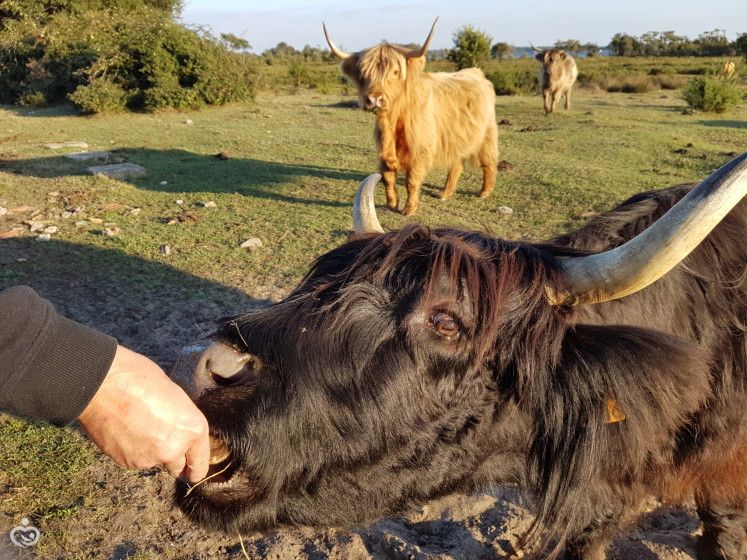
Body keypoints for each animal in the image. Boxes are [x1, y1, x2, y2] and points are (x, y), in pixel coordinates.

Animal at [322, 20, 496, 217]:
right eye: (364, 73)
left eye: (396, 72)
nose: (374, 99)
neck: (393, 121)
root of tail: (476, 72)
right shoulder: (384, 151)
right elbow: (387, 177)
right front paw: (392, 204)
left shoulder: (419, 149)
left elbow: (411, 180)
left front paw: (409, 209)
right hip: (455, 137)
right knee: (456, 164)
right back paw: (445, 193)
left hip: (487, 134)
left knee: (489, 162)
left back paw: (484, 192)